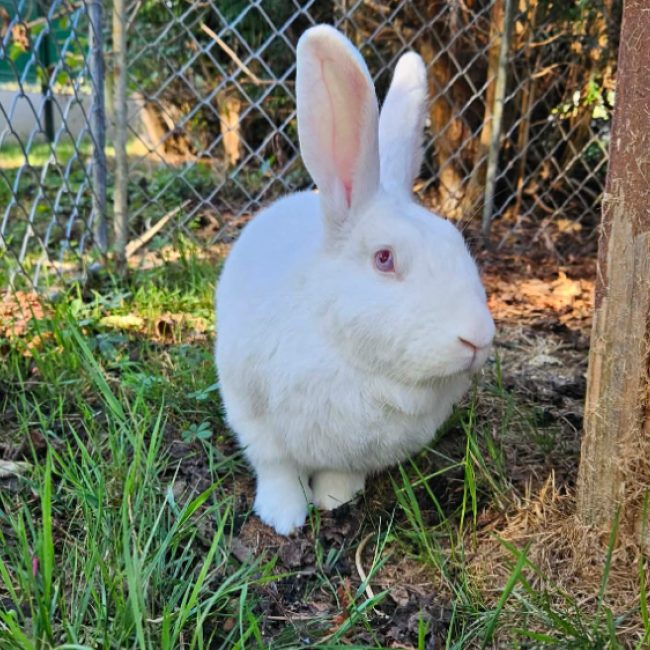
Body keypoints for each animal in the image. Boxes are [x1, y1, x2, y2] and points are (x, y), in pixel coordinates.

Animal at [215, 24, 495, 535]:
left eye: (457, 244)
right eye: (384, 259)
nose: (478, 338)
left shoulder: (354, 454)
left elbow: (340, 475)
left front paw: (335, 502)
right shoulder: (254, 417)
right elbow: (277, 468)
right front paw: (285, 518)